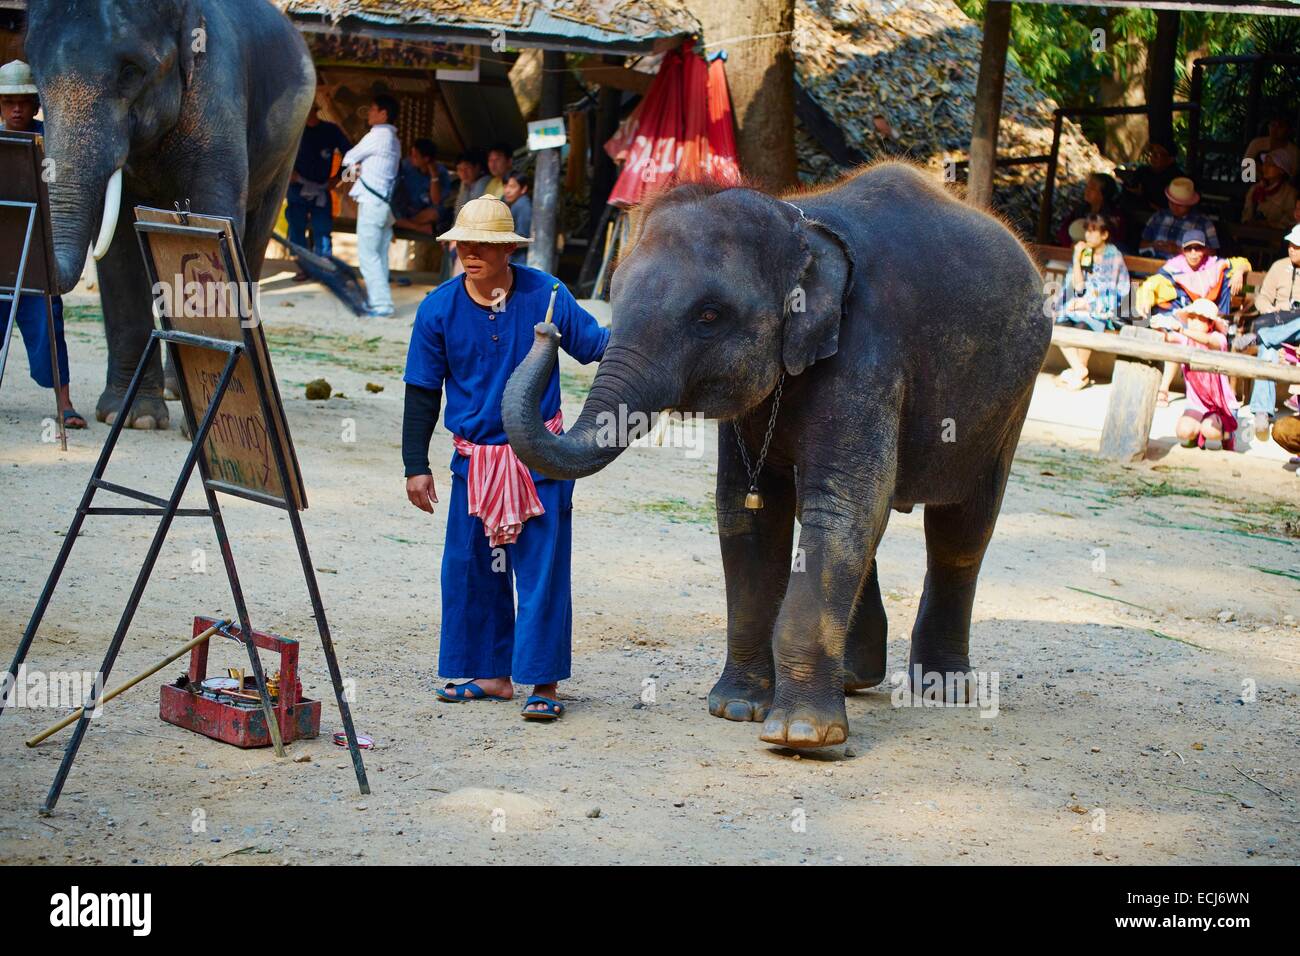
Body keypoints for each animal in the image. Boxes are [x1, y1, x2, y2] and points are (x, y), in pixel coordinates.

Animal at [25, 0, 314, 426]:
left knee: (256, 237)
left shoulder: (216, 95)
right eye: (35, 74)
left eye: (131, 71)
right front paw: (132, 417)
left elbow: (216, 217)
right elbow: (120, 245)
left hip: (287, 149)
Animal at [501, 162, 1050, 749]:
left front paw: (801, 735)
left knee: (960, 529)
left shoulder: (868, 355)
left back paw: (943, 690)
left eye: (709, 315)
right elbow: (750, 513)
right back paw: (855, 678)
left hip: (1011, 401)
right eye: (614, 293)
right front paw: (736, 709)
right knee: (874, 524)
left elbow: (841, 503)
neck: (799, 223)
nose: (547, 323)